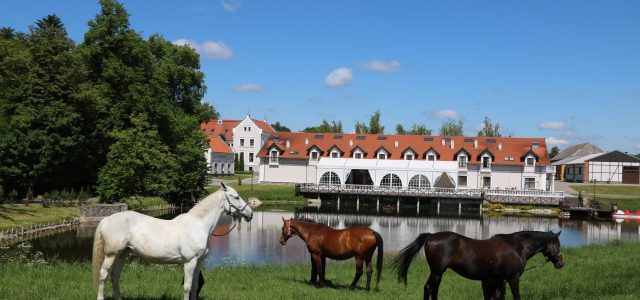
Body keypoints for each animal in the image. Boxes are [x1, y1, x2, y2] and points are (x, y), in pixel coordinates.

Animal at [92, 182, 252, 300]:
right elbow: (187, 287)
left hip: (122, 254)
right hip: (111, 255)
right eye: (236, 197)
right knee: (103, 275)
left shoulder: (199, 262)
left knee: (115, 276)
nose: (249, 214)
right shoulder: (190, 262)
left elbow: (195, 286)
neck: (198, 225)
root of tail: (106, 219)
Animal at [392, 231, 564, 298]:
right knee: (429, 288)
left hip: (438, 273)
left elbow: (497, 297)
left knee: (433, 289)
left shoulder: (496, 280)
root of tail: (431, 236)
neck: (515, 247)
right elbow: (516, 296)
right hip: (436, 272)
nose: (561, 263)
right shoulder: (512, 278)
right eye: (558, 244)